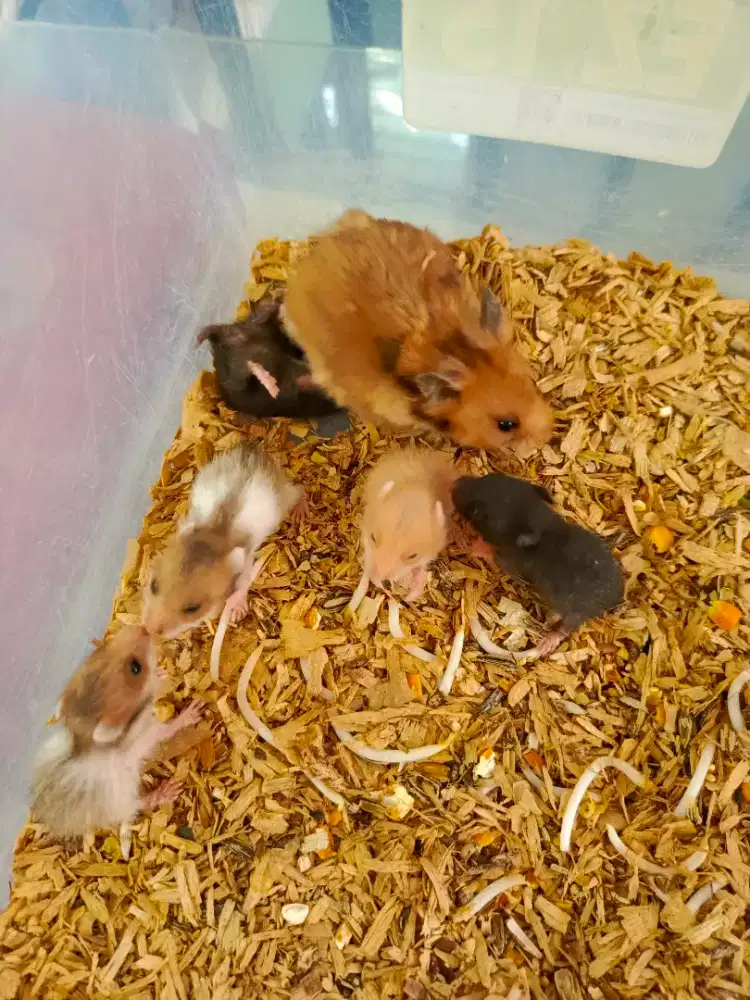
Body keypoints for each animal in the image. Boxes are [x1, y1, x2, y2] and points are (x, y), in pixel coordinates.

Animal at [30, 625, 202, 840]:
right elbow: (171, 727)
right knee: (137, 805)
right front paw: (195, 710)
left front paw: (161, 674)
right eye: (136, 668)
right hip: (123, 794)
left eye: (101, 650)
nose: (143, 628)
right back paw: (167, 790)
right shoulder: (150, 732)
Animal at [143, 443, 301, 637]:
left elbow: (242, 584)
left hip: (285, 497)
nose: (148, 629)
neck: (213, 534)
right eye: (153, 585)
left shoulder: (247, 561)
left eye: (193, 608)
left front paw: (236, 612)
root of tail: (256, 448)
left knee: (300, 490)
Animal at [361, 447, 456, 600]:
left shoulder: (425, 558)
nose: (381, 578)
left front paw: (409, 597)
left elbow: (419, 570)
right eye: (373, 537)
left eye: (413, 556)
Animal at [452, 473, 624, 655]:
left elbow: (492, 555)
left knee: (567, 627)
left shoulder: (509, 561)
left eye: (474, 511)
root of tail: (615, 596)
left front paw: (475, 545)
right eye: (486, 477)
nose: (454, 483)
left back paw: (549, 640)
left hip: (575, 610)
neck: (539, 520)